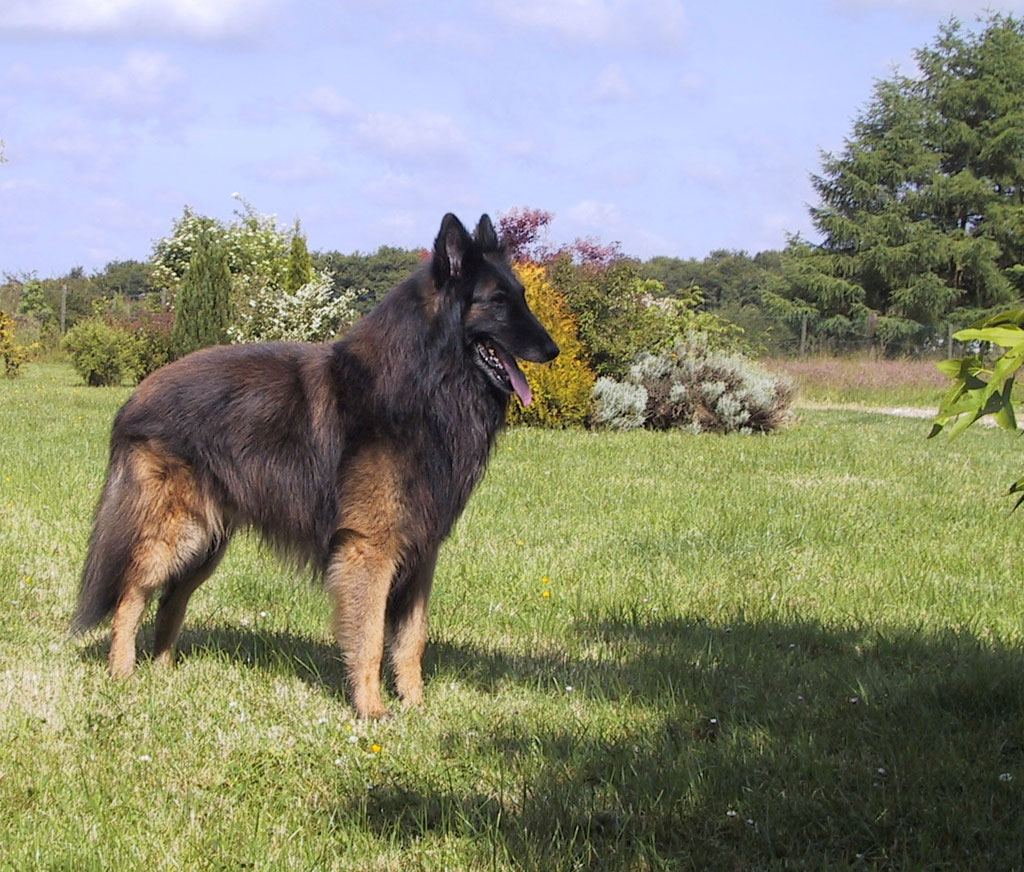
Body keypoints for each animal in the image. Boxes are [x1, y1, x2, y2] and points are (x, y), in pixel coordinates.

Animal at [72, 214, 561, 720]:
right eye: (498, 302)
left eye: (522, 295)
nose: (554, 350)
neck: (425, 385)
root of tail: (136, 396)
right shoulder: (370, 549)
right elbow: (369, 639)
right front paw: (372, 710)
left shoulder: (422, 553)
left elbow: (412, 641)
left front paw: (417, 706)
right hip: (178, 532)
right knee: (131, 594)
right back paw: (123, 673)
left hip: (206, 544)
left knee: (170, 600)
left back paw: (164, 672)